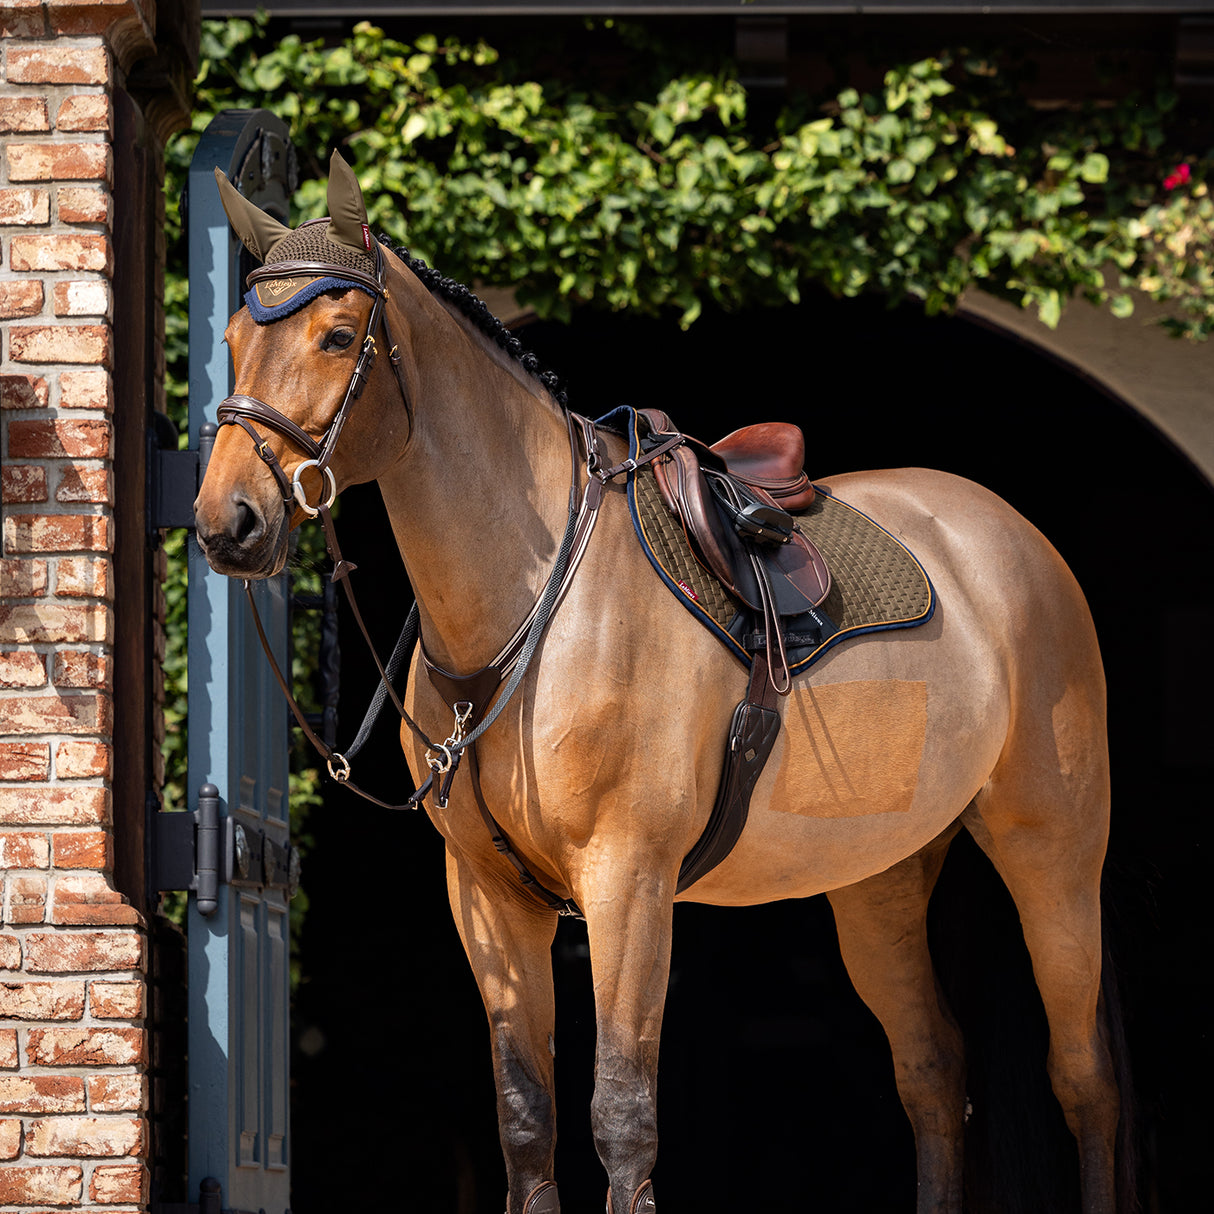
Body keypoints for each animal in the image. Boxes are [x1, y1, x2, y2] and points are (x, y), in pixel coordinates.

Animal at [194, 154, 1121, 1214]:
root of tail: (1010, 538)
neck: (532, 604)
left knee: (1081, 1077)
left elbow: (622, 1117)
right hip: (879, 878)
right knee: (932, 1072)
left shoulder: (628, 881)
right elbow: (527, 1120)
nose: (229, 522)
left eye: (339, 336)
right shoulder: (487, 896)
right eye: (231, 339)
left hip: (1053, 854)